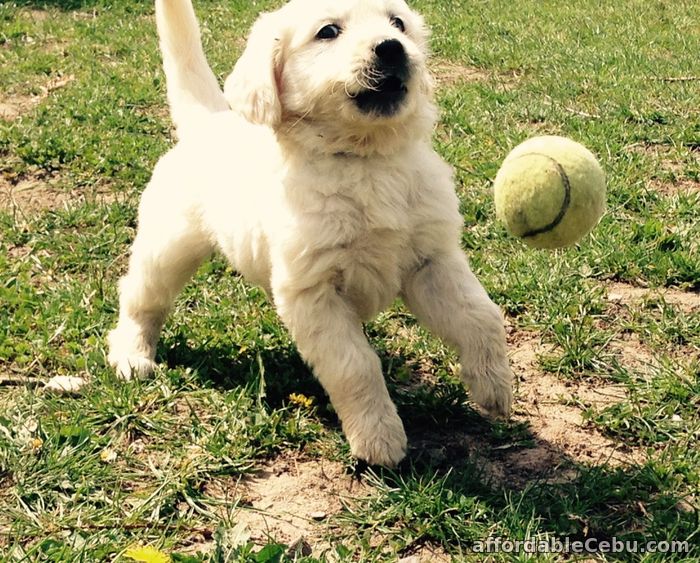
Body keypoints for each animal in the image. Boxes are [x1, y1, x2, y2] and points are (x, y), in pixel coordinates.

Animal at [109, 0, 516, 468]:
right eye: (328, 32)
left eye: (398, 23)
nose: (392, 48)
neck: (365, 160)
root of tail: (208, 123)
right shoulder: (314, 292)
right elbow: (356, 366)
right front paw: (379, 439)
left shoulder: (432, 261)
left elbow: (481, 315)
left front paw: (493, 385)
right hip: (168, 246)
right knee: (140, 297)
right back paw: (132, 352)